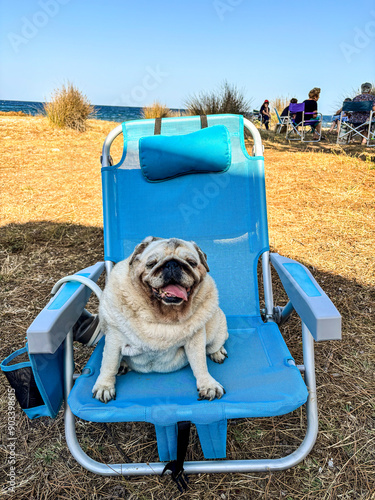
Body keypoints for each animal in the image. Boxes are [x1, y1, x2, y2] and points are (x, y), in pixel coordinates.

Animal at [94, 236, 229, 404]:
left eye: (191, 263)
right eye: (151, 264)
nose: (172, 264)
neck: (163, 316)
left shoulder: (196, 340)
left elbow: (200, 363)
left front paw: (208, 384)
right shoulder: (114, 339)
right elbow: (109, 364)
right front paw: (104, 386)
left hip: (214, 327)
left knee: (215, 344)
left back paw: (218, 352)